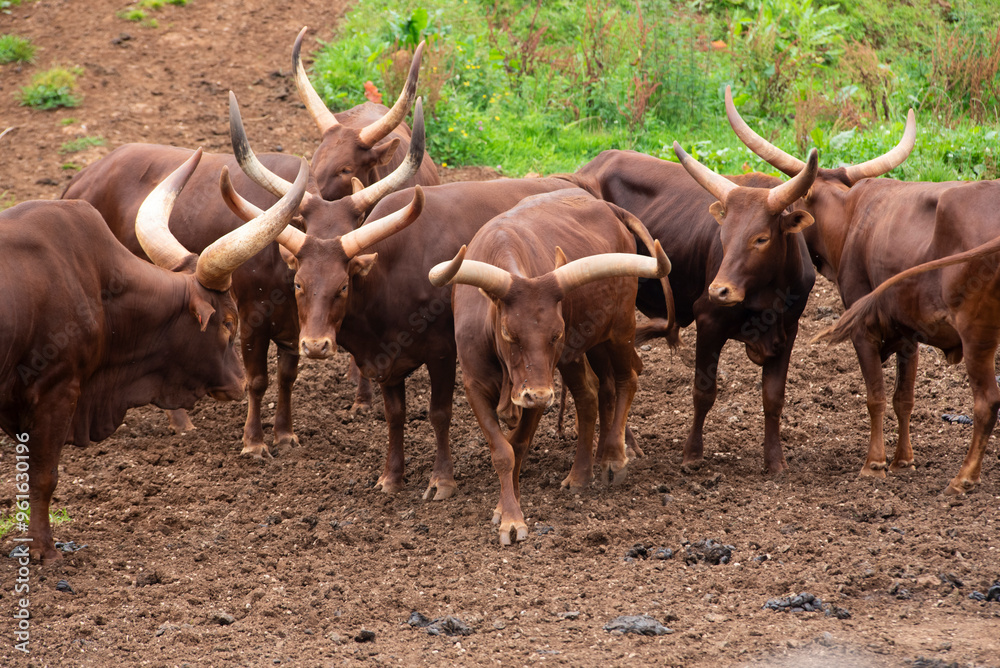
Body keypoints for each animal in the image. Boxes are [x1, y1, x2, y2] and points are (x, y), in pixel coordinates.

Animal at [60, 92, 424, 460]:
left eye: (345, 278)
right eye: (307, 229)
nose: (320, 347)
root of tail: (83, 177)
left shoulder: (295, 327)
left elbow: (287, 377)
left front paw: (285, 435)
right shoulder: (252, 318)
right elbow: (257, 379)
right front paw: (254, 442)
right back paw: (180, 422)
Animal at [430, 188, 672, 544]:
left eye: (555, 333)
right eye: (508, 332)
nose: (540, 395)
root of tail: (607, 206)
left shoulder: (538, 388)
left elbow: (516, 445)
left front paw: (509, 515)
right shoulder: (475, 386)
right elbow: (502, 450)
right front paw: (508, 510)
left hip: (619, 329)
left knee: (627, 379)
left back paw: (613, 458)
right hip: (584, 348)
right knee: (590, 395)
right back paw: (581, 473)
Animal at [580, 146, 820, 472]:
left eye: (761, 238)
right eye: (723, 236)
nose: (719, 290)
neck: (767, 298)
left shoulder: (788, 331)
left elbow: (773, 398)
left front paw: (775, 461)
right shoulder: (709, 322)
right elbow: (703, 392)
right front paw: (692, 454)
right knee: (610, 378)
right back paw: (625, 443)